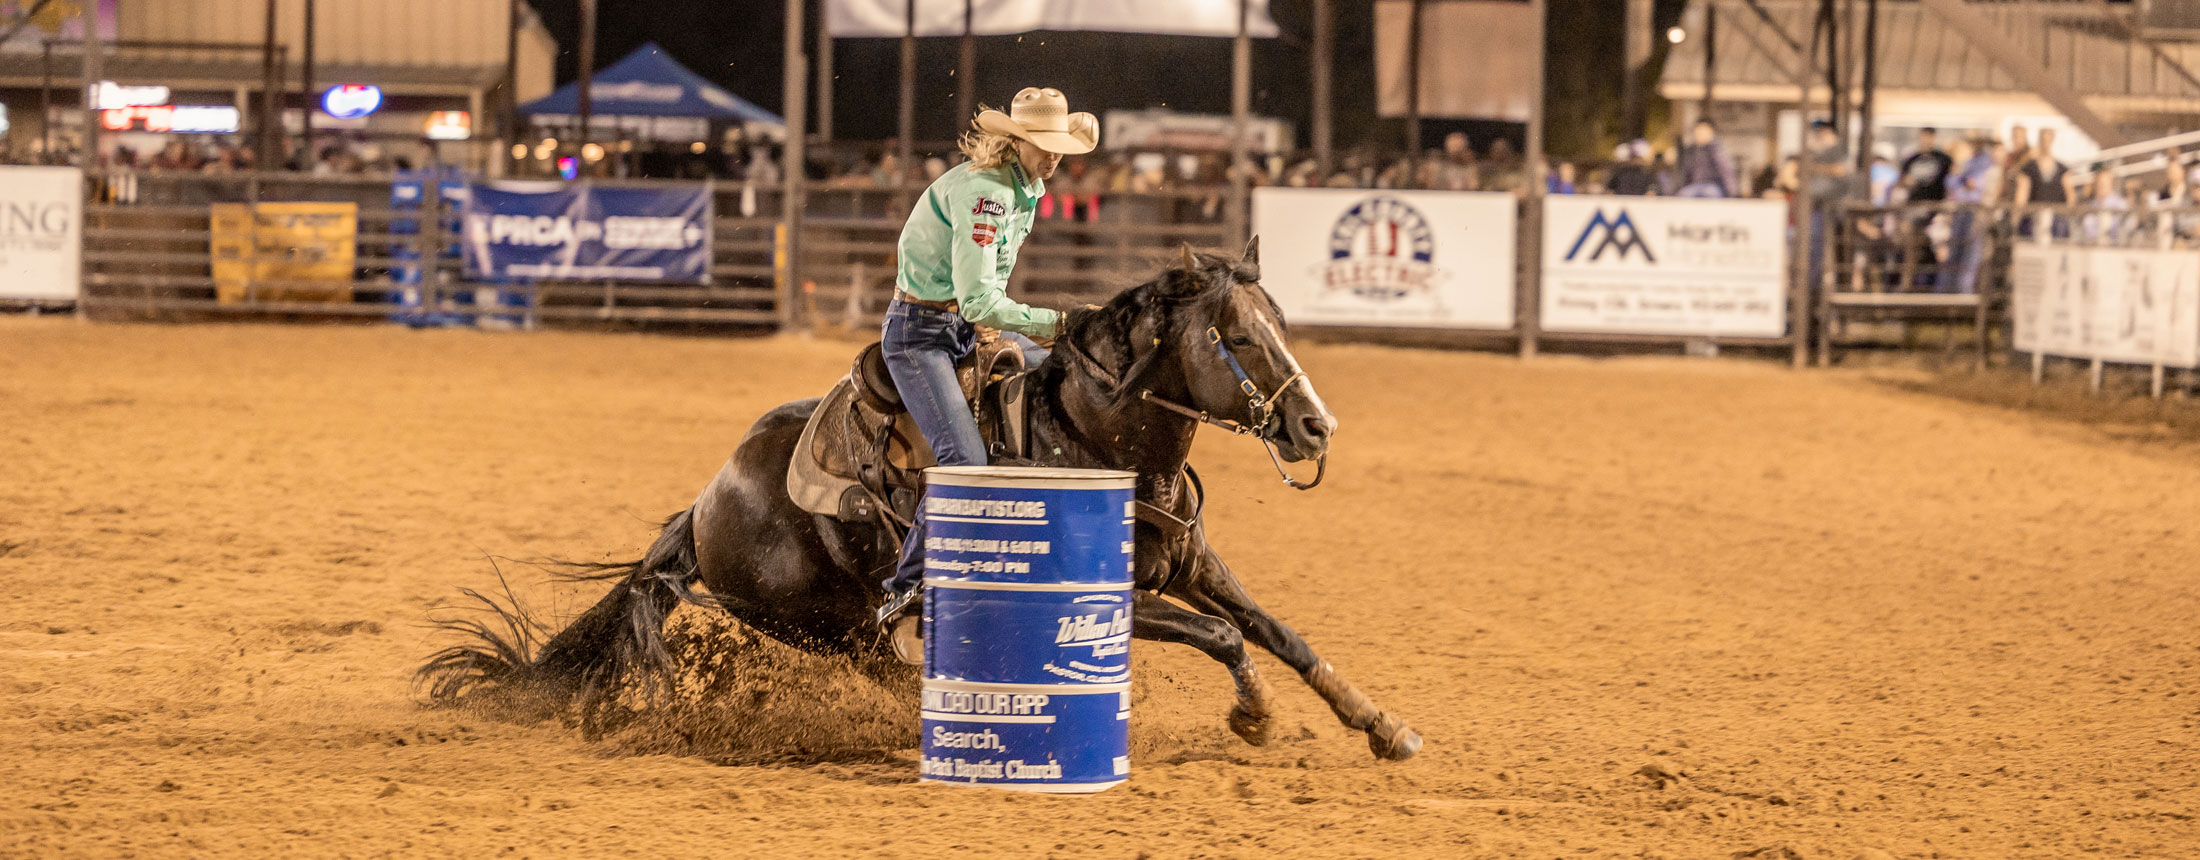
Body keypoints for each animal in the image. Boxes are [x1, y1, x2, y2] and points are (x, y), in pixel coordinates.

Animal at [424, 240, 1425, 761]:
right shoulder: (1112, 594)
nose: (1315, 428)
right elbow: (1222, 636)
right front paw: (1254, 717)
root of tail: (706, 506)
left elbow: (1278, 632)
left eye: (1281, 325)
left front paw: (1383, 726)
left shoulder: (1191, 560)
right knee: (886, 664)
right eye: (1234, 337)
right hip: (824, 622)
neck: (1098, 440)